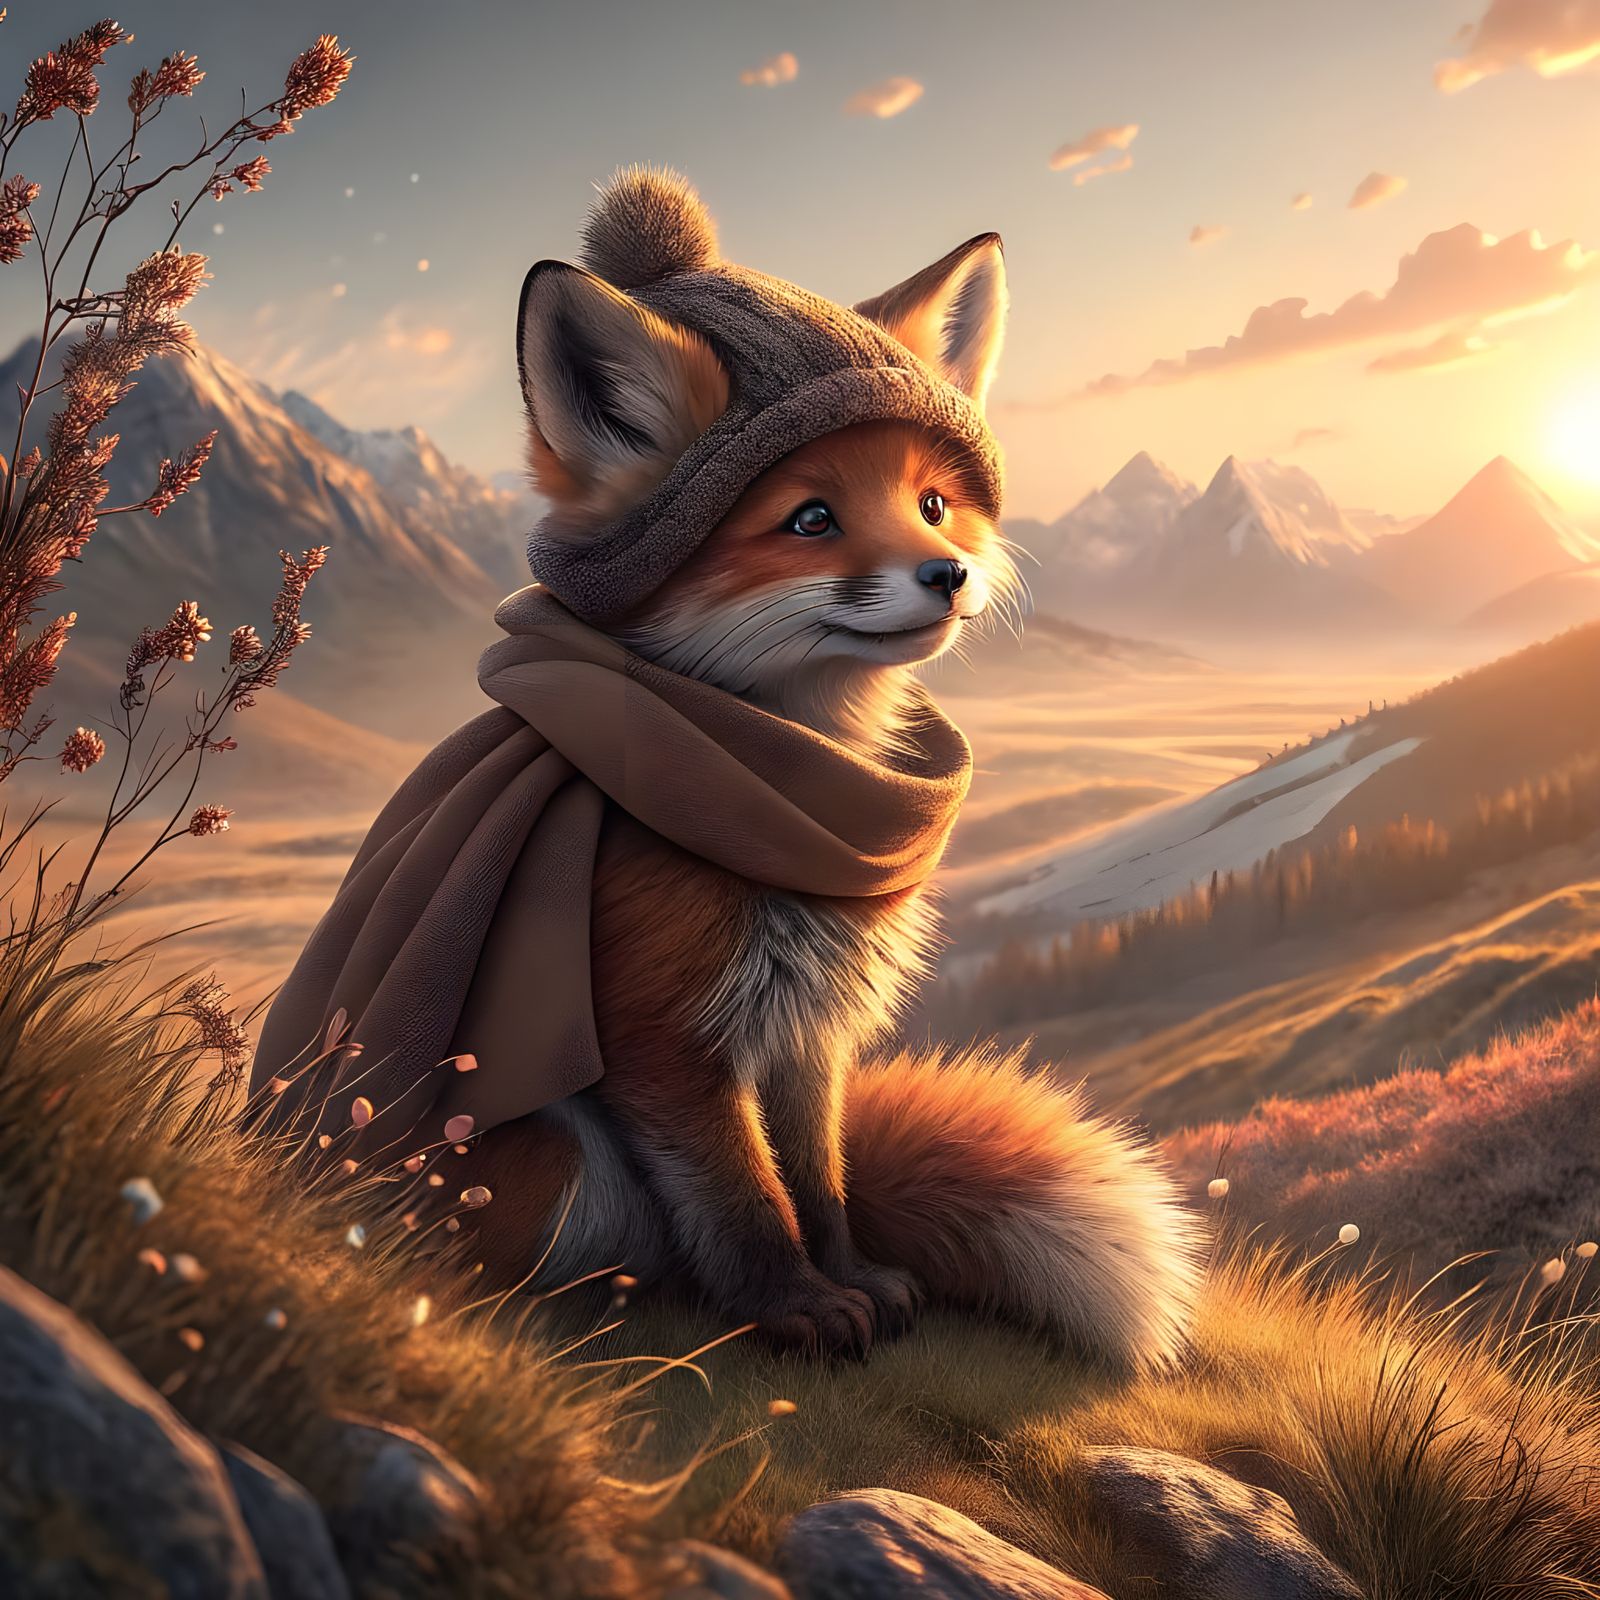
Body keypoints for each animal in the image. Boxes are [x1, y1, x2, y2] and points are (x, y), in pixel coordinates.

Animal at [433, 172, 1204, 1367]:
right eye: (810, 518)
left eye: (932, 502)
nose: (950, 573)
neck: (787, 799)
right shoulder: (663, 1030)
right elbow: (744, 1193)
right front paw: (793, 1307)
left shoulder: (806, 1029)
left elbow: (820, 1178)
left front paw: (853, 1278)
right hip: (550, 1156)